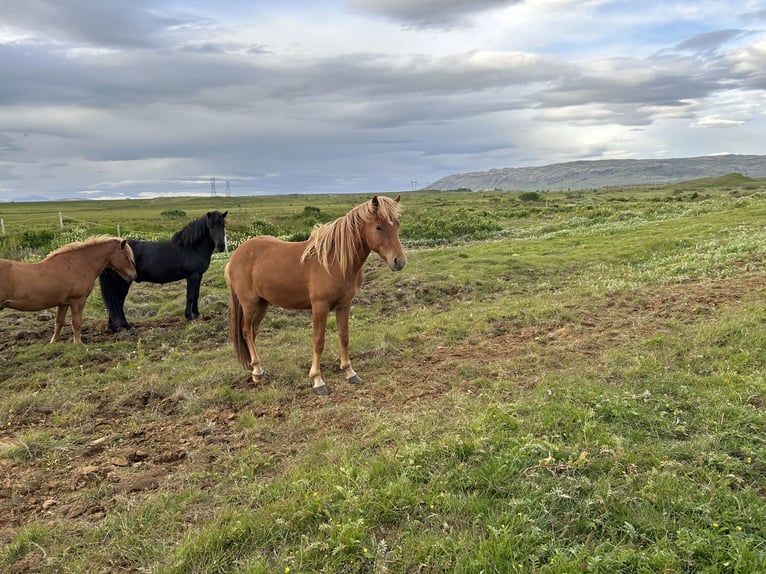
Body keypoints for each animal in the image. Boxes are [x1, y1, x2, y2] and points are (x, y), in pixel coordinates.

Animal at [0, 236, 136, 344]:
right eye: (126, 256)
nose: (133, 276)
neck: (79, 263)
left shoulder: (63, 303)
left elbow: (59, 322)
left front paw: (53, 342)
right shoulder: (77, 300)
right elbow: (76, 322)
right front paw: (78, 343)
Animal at [98, 212, 228, 332]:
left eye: (223, 225)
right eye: (211, 226)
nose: (221, 246)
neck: (193, 248)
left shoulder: (199, 275)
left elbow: (196, 295)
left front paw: (197, 314)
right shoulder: (192, 276)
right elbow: (190, 296)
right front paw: (189, 317)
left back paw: (113, 328)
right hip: (123, 282)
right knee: (118, 301)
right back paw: (126, 326)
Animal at [228, 197, 408, 396]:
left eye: (397, 224)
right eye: (378, 227)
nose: (399, 261)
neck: (335, 262)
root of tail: (237, 254)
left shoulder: (344, 305)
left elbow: (344, 337)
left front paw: (350, 372)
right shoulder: (320, 307)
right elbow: (318, 341)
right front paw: (317, 380)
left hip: (262, 304)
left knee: (252, 331)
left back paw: (256, 370)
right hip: (249, 303)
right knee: (246, 330)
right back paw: (257, 371)